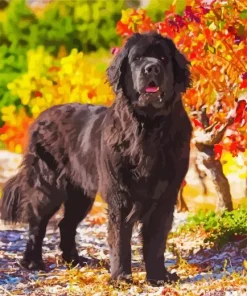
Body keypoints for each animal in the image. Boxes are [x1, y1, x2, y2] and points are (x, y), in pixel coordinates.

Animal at [0, 32, 192, 286]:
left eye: (163, 58)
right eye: (137, 58)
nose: (152, 68)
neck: (148, 127)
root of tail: (41, 117)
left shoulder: (165, 195)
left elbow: (157, 240)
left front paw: (158, 277)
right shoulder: (120, 195)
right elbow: (120, 239)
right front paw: (121, 278)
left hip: (80, 193)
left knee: (66, 223)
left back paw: (74, 260)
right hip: (47, 183)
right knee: (37, 222)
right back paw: (32, 262)